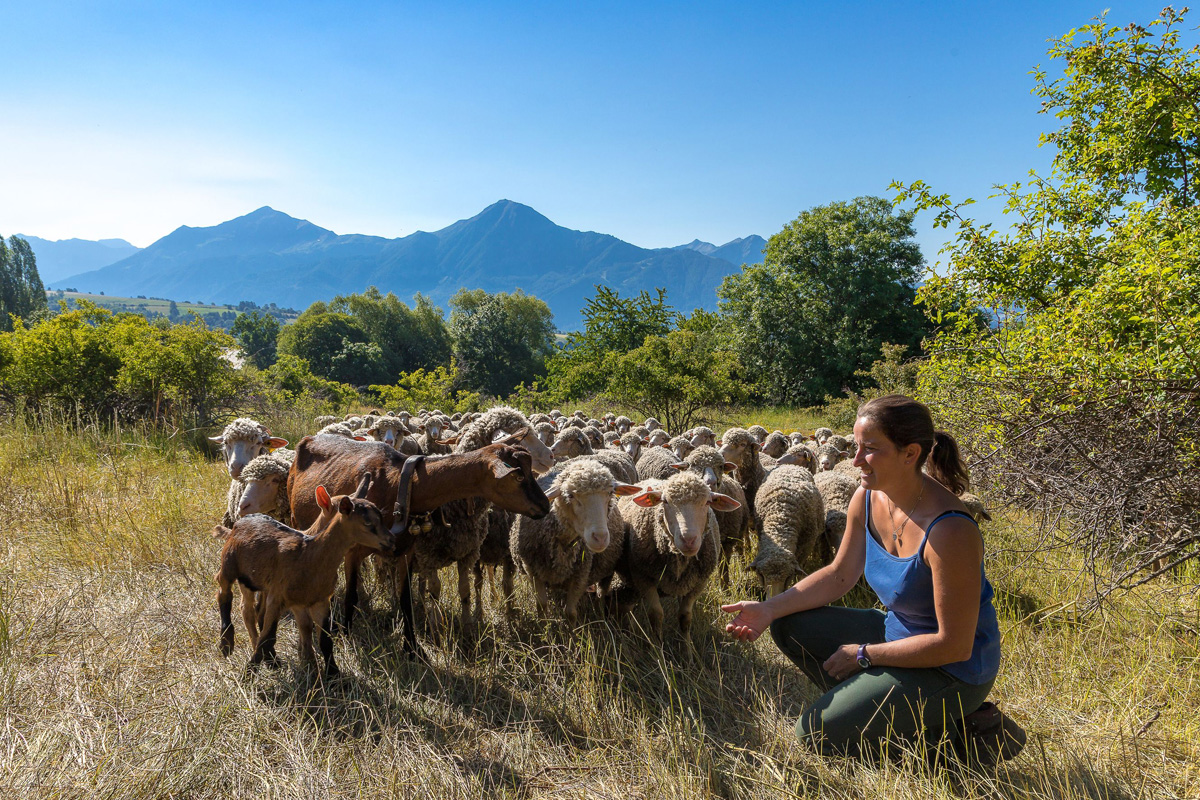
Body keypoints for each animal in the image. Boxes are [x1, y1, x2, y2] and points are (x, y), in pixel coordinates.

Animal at [211, 472, 388, 681]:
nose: (391, 541)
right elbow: (272, 635)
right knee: (228, 595)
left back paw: (270, 658)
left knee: (255, 612)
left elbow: (317, 635)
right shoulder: (280, 597)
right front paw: (248, 675)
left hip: (258, 584)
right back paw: (227, 643)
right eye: (367, 523)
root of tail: (238, 523)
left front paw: (323, 671)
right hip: (230, 565)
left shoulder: (312, 600)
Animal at [288, 434, 549, 652]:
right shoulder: (352, 550)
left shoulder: (407, 551)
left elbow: (406, 602)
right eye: (518, 475)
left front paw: (413, 648)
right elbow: (351, 596)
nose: (545, 506)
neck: (401, 484)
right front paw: (347, 637)